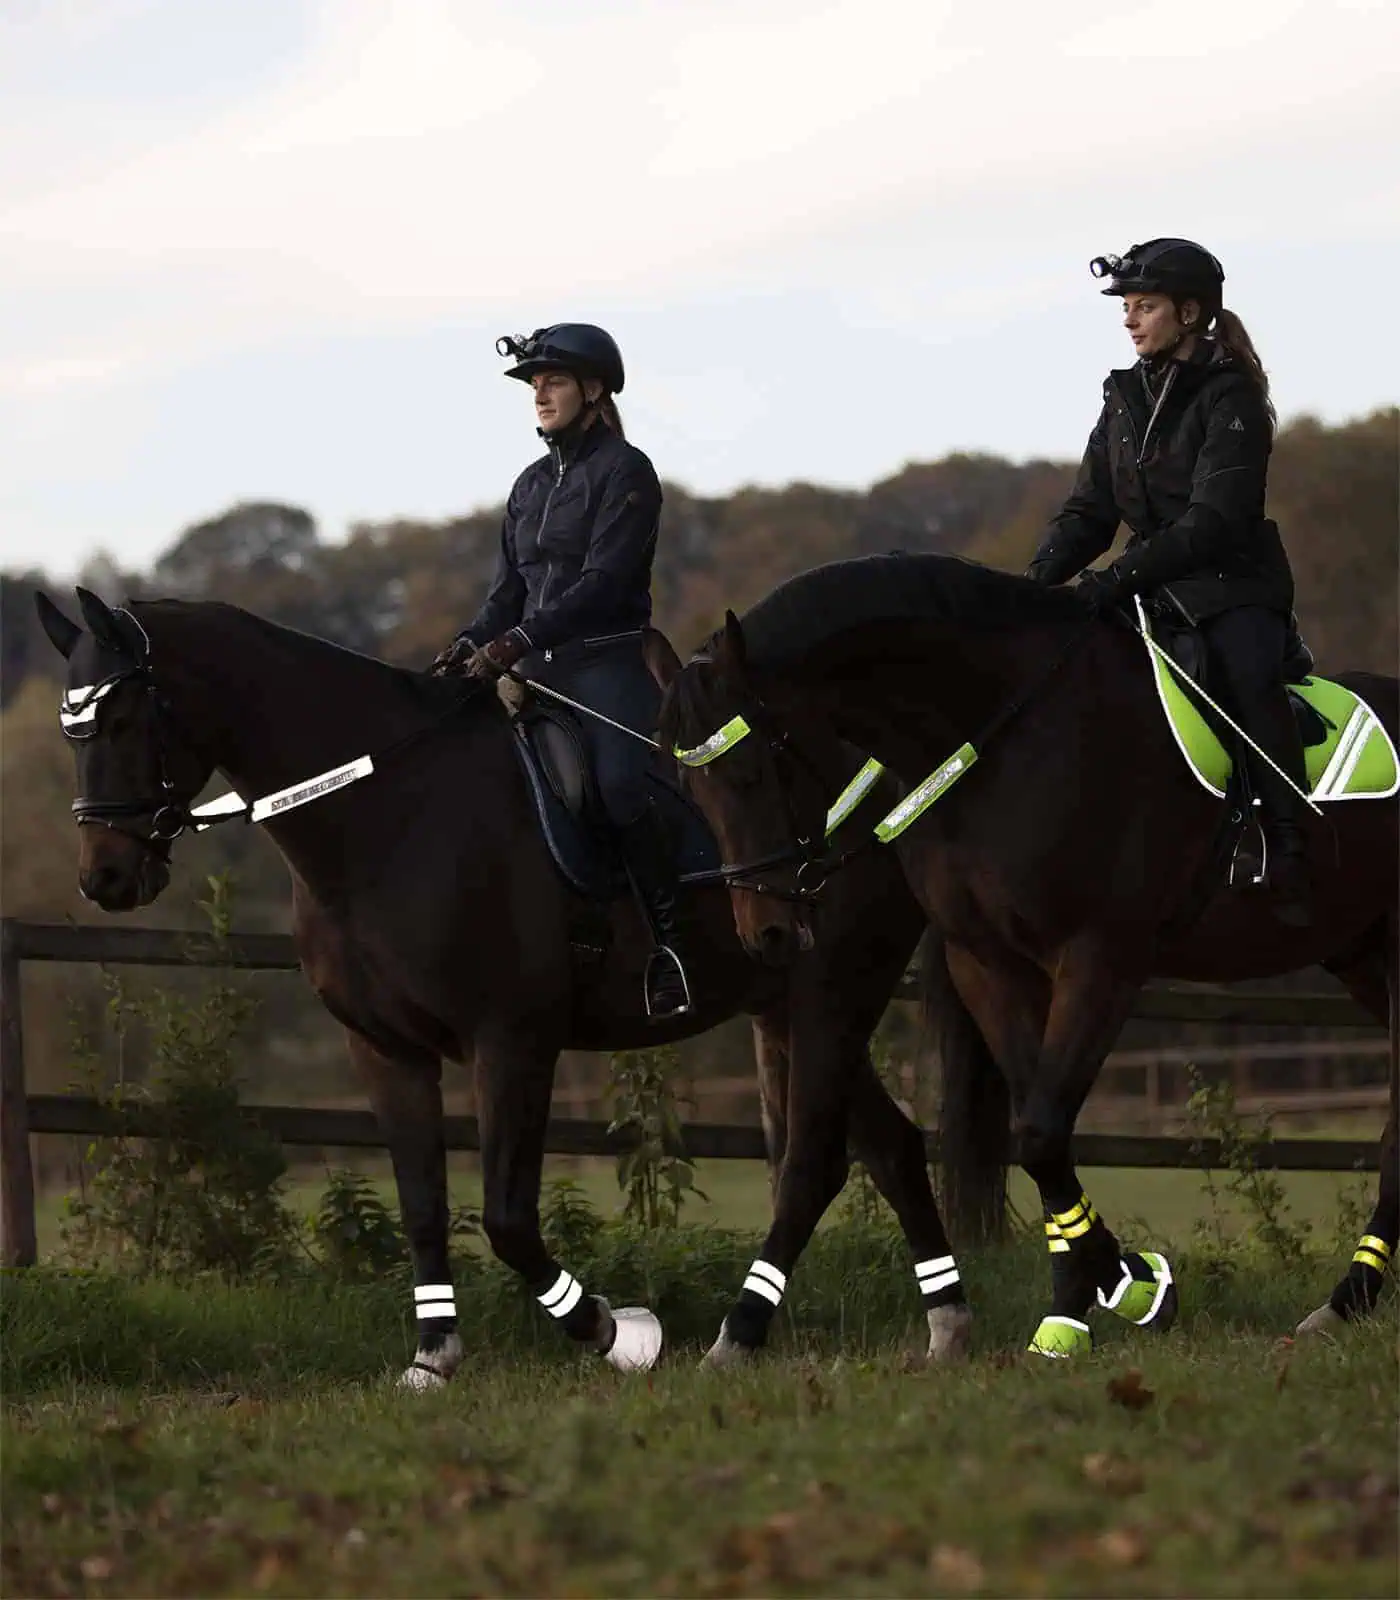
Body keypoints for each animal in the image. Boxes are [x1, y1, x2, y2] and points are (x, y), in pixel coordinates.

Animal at [35, 595, 972, 1382]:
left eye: (122, 718)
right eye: (72, 731)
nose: (105, 877)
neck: (391, 814)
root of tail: (886, 781)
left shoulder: (513, 1041)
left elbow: (507, 1219)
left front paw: (618, 1332)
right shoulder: (385, 1051)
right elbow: (422, 1206)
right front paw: (432, 1357)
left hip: (830, 994)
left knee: (814, 1162)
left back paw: (736, 1338)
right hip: (785, 1002)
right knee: (888, 1146)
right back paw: (946, 1327)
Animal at [659, 556, 1400, 1356]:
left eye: (752, 772)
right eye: (690, 790)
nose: (764, 932)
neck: (1001, 736)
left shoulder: (1100, 959)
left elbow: (1042, 1132)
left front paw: (1130, 1290)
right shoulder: (989, 963)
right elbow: (1039, 1128)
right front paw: (1089, 1300)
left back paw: (1346, 1301)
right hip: (1366, 957)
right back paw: (1346, 1303)